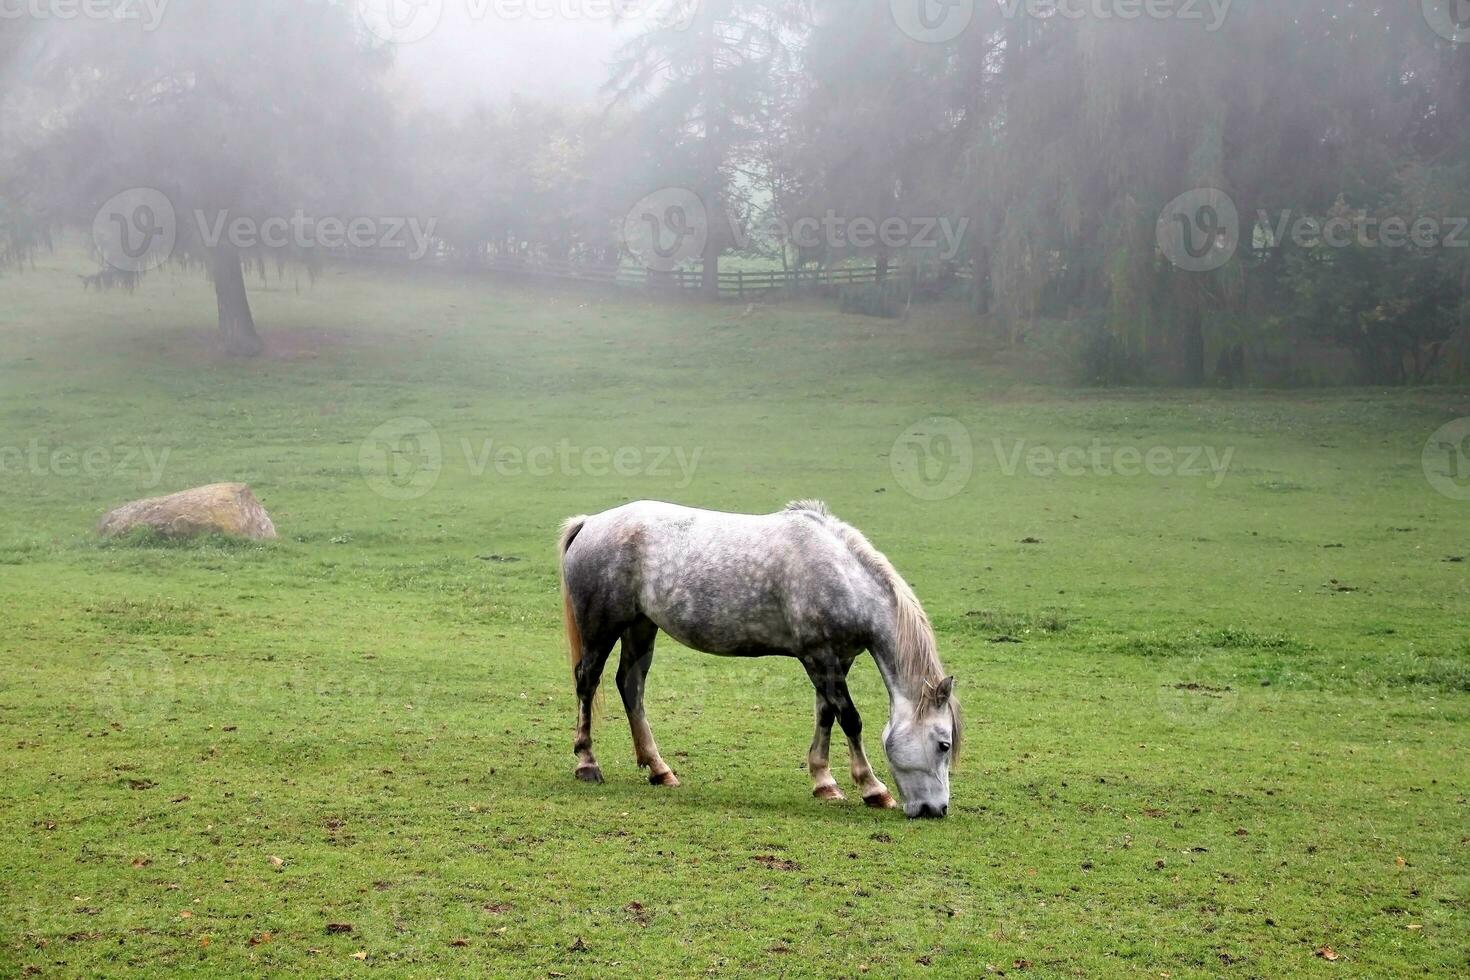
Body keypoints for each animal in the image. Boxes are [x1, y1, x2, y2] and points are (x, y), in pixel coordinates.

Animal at [555, 502, 958, 816]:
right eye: (944, 744)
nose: (936, 810)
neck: (840, 576)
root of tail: (590, 522)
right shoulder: (818, 657)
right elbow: (850, 719)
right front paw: (873, 788)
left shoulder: (837, 660)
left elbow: (826, 713)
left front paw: (824, 782)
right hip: (601, 629)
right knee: (588, 680)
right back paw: (587, 763)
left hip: (640, 626)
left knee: (631, 686)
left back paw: (659, 769)